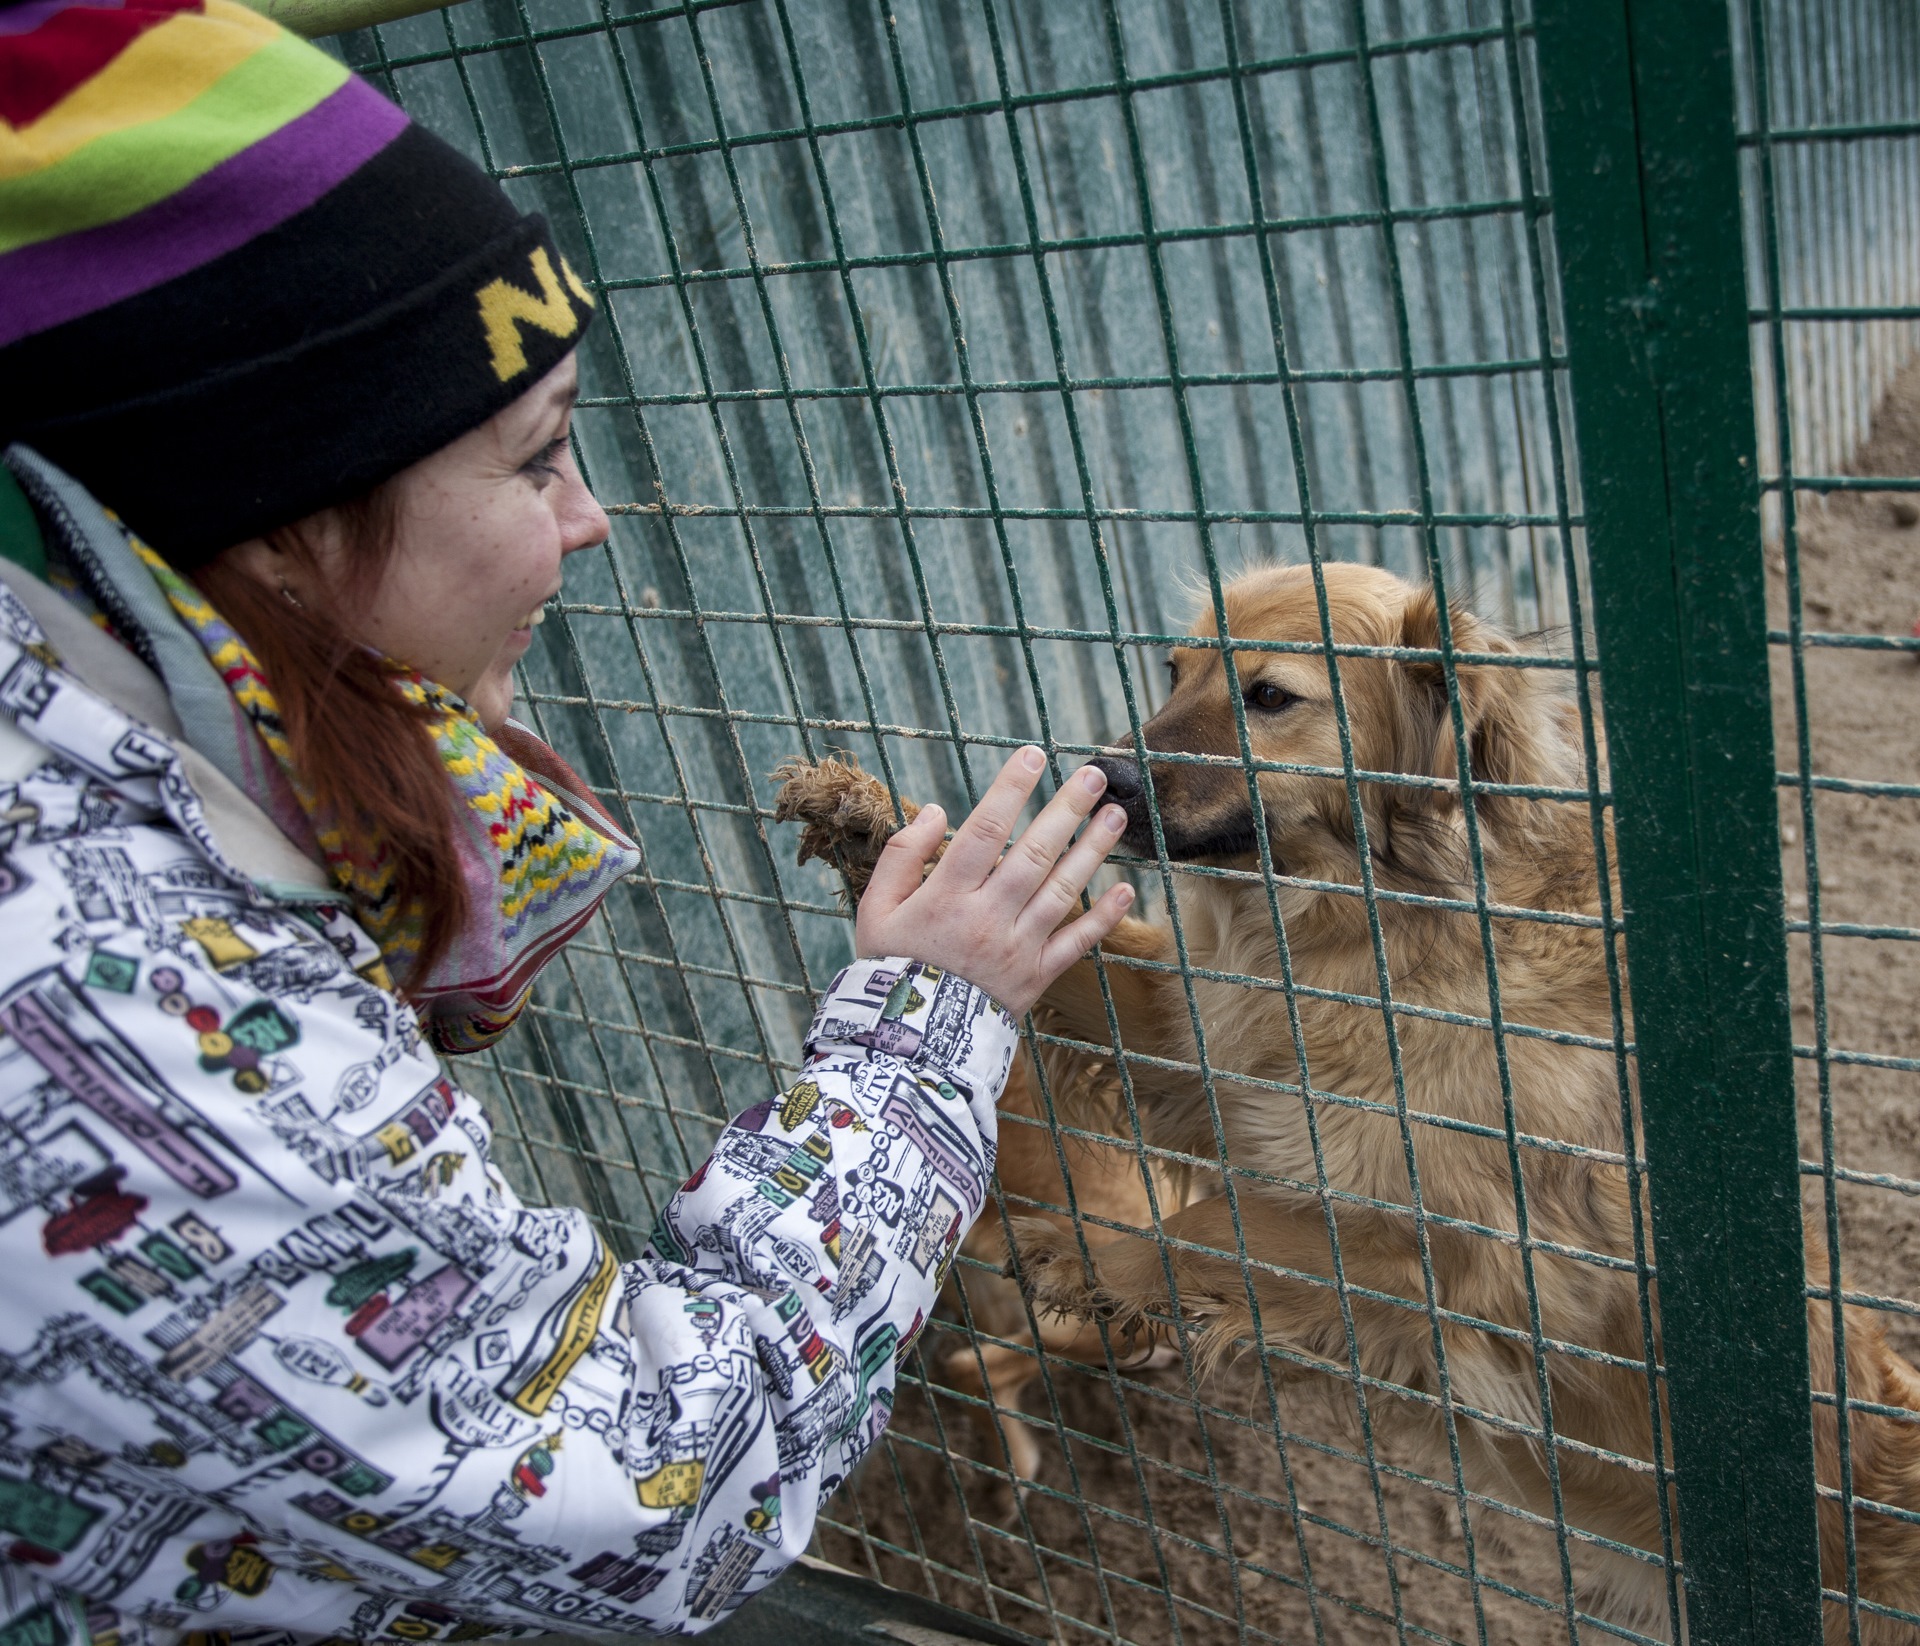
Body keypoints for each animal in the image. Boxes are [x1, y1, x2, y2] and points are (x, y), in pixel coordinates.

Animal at [990, 560, 1920, 1628]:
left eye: (1268, 696)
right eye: (1175, 674)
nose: (1100, 779)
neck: (1377, 924)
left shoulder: (1467, 1258)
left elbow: (1218, 1228)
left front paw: (1081, 1255)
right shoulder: (1210, 1061)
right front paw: (895, 832)